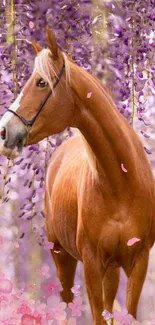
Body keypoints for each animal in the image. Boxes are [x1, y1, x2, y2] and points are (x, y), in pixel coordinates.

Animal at [0, 28, 155, 324]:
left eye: (40, 82)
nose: (4, 132)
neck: (120, 184)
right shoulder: (91, 264)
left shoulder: (138, 262)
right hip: (62, 258)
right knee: (67, 304)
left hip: (112, 269)